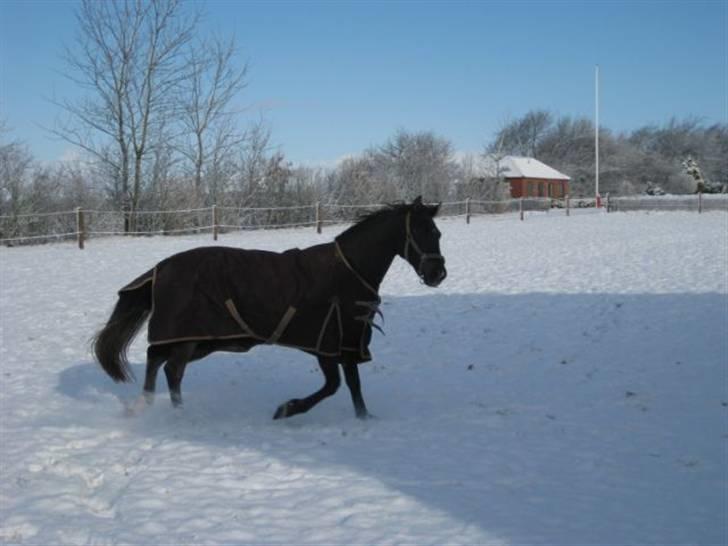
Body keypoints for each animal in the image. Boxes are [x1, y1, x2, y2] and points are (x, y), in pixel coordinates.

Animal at [94, 196, 446, 416]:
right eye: (421, 231)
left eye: (438, 232)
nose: (437, 274)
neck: (349, 270)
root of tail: (160, 268)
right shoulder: (326, 343)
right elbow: (333, 386)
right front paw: (287, 409)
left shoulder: (346, 343)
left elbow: (354, 387)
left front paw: (365, 419)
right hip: (190, 338)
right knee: (171, 369)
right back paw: (178, 413)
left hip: (196, 339)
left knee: (156, 359)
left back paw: (144, 407)